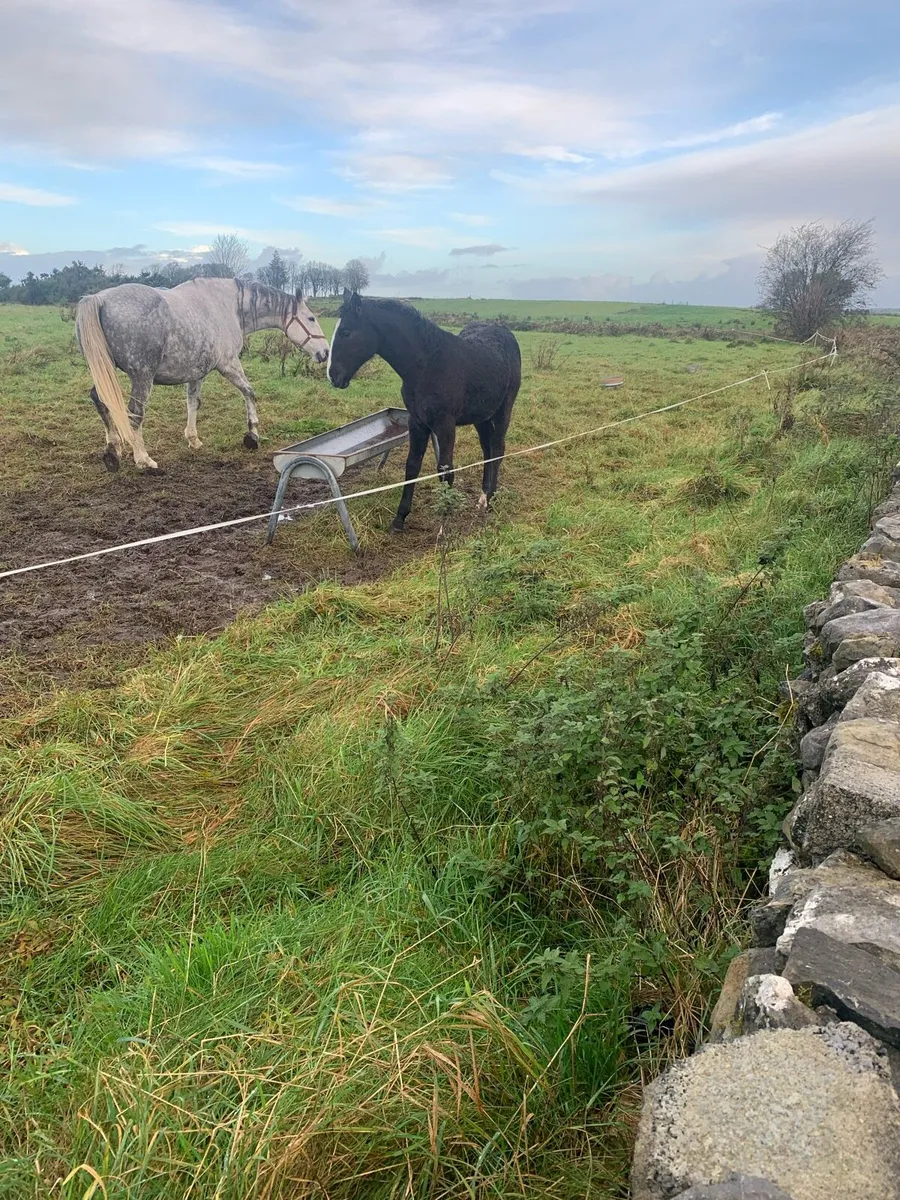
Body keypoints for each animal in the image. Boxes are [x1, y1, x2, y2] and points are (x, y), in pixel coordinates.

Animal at [75, 277, 330, 471]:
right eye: (311, 318)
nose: (325, 352)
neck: (228, 306)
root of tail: (99, 298)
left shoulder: (196, 373)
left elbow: (193, 403)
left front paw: (193, 439)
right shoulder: (228, 364)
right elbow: (249, 392)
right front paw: (252, 435)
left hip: (106, 371)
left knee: (100, 400)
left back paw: (113, 450)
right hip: (142, 376)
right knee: (134, 414)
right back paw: (143, 459)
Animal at [326, 290, 521, 531]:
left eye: (346, 332)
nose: (333, 376)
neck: (427, 366)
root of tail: (506, 332)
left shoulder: (445, 424)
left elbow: (445, 470)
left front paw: (444, 525)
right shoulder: (417, 421)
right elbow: (412, 466)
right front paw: (399, 519)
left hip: (504, 408)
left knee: (498, 448)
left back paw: (491, 500)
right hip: (481, 415)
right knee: (487, 449)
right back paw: (483, 496)